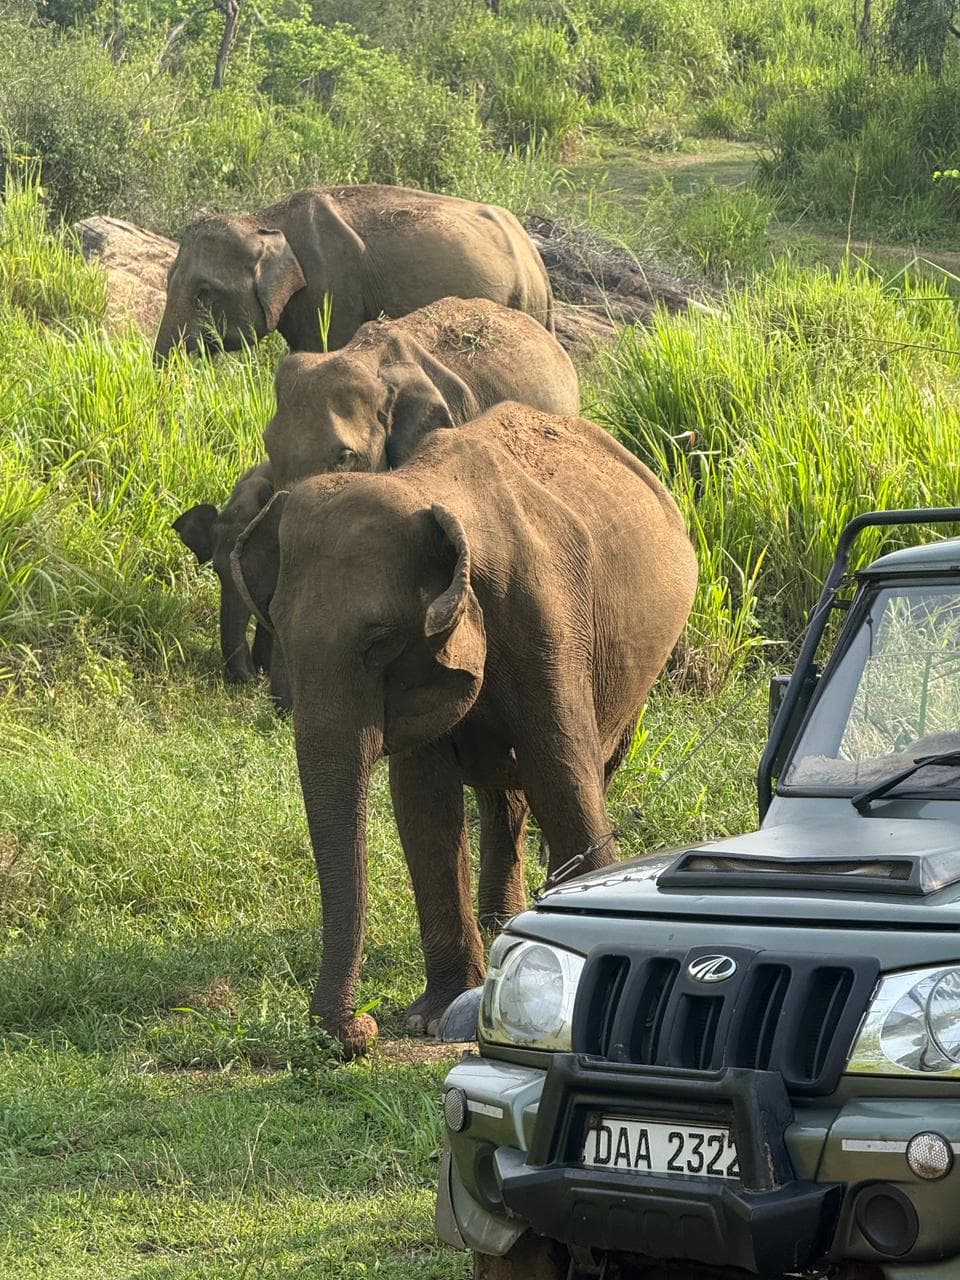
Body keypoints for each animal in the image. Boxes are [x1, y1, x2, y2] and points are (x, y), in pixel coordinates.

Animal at [233, 402, 698, 1057]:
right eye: (283, 637)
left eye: (381, 643)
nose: (357, 1032)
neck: (427, 491)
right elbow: (423, 803)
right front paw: (435, 1016)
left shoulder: (546, 622)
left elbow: (562, 772)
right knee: (506, 794)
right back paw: (502, 922)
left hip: (637, 670)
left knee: (583, 770)